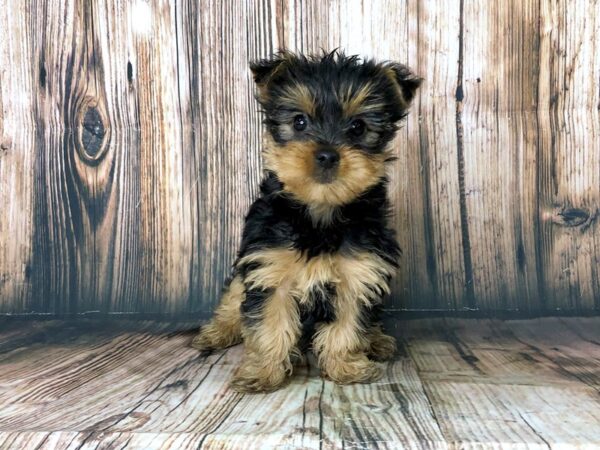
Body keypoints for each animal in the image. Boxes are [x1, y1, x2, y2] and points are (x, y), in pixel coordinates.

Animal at [193, 51, 422, 392]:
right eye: (299, 121)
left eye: (358, 127)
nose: (327, 154)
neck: (320, 213)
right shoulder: (270, 267)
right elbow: (269, 324)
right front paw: (262, 373)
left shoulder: (360, 273)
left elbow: (348, 325)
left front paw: (345, 367)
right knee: (232, 298)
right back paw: (217, 332)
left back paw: (377, 341)